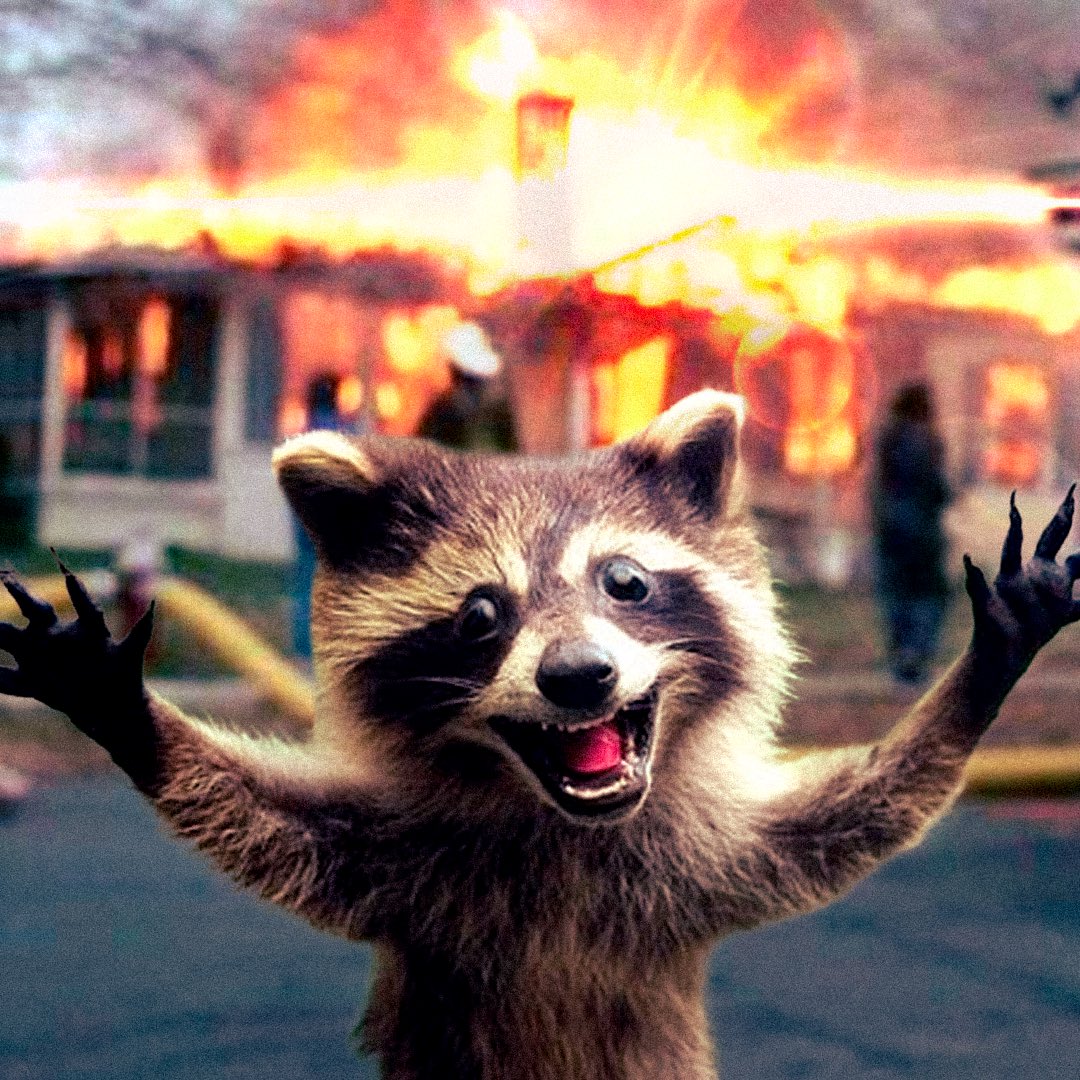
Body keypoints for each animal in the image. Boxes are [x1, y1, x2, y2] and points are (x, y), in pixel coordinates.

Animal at [1, 390, 1077, 1080]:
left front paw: (982, 674)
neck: (566, 822)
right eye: (481, 615)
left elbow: (851, 821)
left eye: (626, 582)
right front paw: (131, 715)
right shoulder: (403, 861)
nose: (579, 677)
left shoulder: (705, 860)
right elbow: (265, 825)